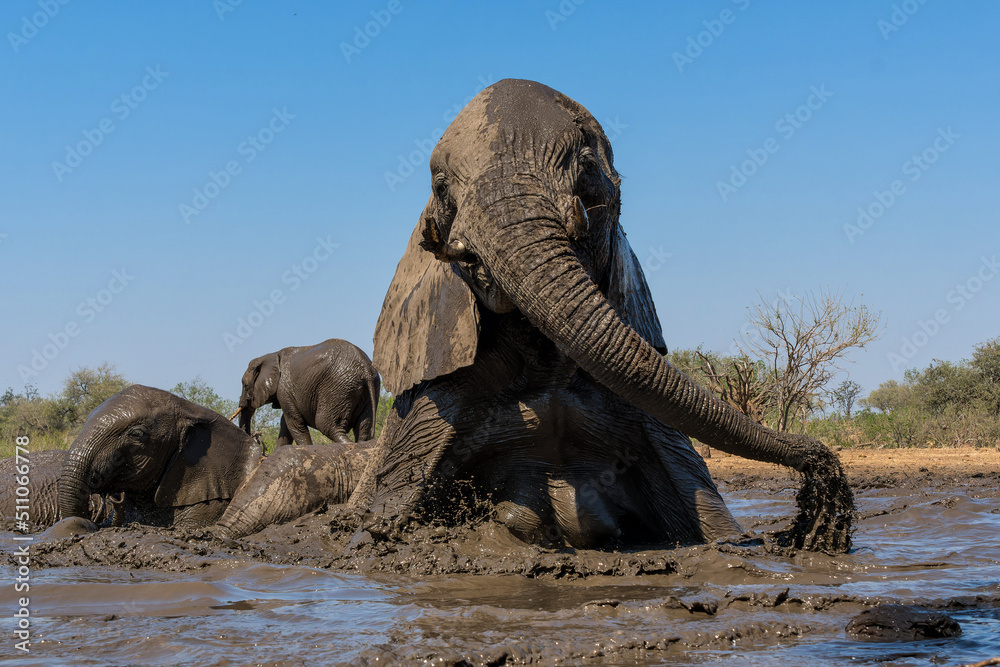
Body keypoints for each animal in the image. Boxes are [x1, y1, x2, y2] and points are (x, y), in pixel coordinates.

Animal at [237, 338, 381, 447]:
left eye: (244, 385)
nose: (256, 437)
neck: (272, 355)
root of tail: (364, 367)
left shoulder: (284, 388)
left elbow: (294, 422)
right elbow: (286, 423)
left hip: (338, 388)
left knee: (326, 425)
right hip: (369, 389)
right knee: (363, 428)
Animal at [347, 79, 853, 552]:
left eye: (588, 166)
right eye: (440, 188)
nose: (823, 476)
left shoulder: (653, 421)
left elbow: (718, 529)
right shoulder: (435, 409)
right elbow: (373, 531)